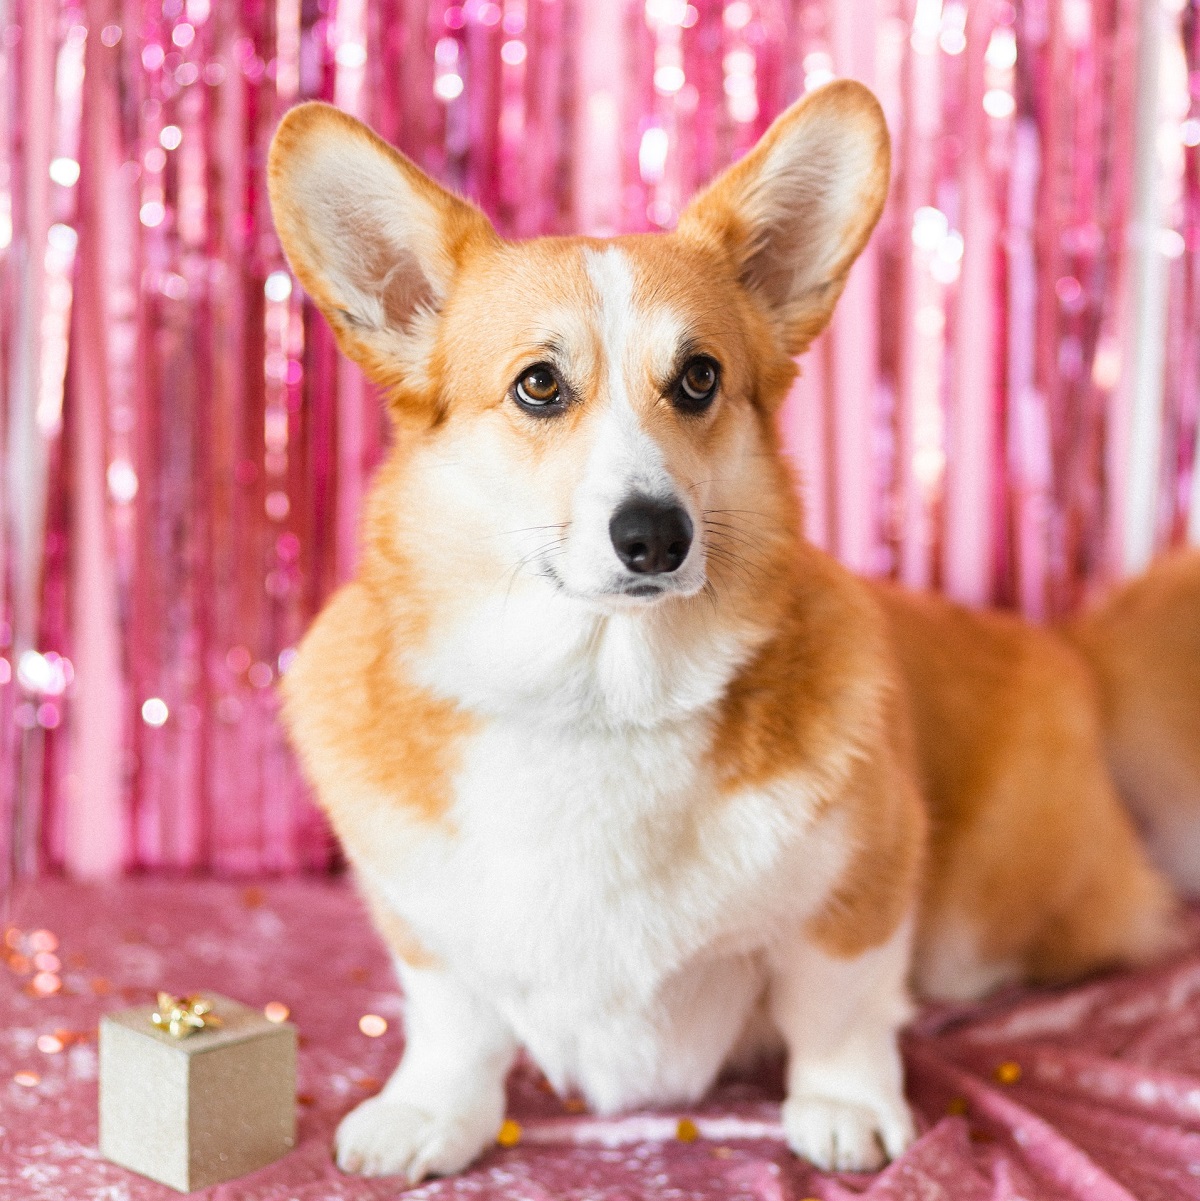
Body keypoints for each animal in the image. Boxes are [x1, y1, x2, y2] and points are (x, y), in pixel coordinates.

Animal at [267, 84, 1196, 1181]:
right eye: (539, 384)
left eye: (699, 377)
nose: (654, 533)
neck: (603, 700)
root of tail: (1073, 653)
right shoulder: (426, 926)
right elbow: (454, 1019)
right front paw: (428, 1109)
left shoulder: (863, 884)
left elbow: (839, 1004)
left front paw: (845, 1102)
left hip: (991, 910)